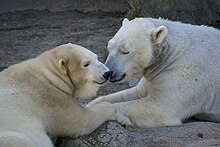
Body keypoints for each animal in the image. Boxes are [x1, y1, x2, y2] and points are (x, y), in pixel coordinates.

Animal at [0, 43, 131, 147]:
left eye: (96, 57)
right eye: (86, 64)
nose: (107, 73)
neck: (49, 74)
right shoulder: (51, 98)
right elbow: (80, 121)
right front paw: (125, 120)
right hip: (16, 136)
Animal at [88, 17, 220, 128]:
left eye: (125, 51)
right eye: (109, 47)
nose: (109, 72)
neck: (172, 53)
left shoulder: (187, 73)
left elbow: (160, 107)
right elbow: (135, 92)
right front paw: (90, 105)